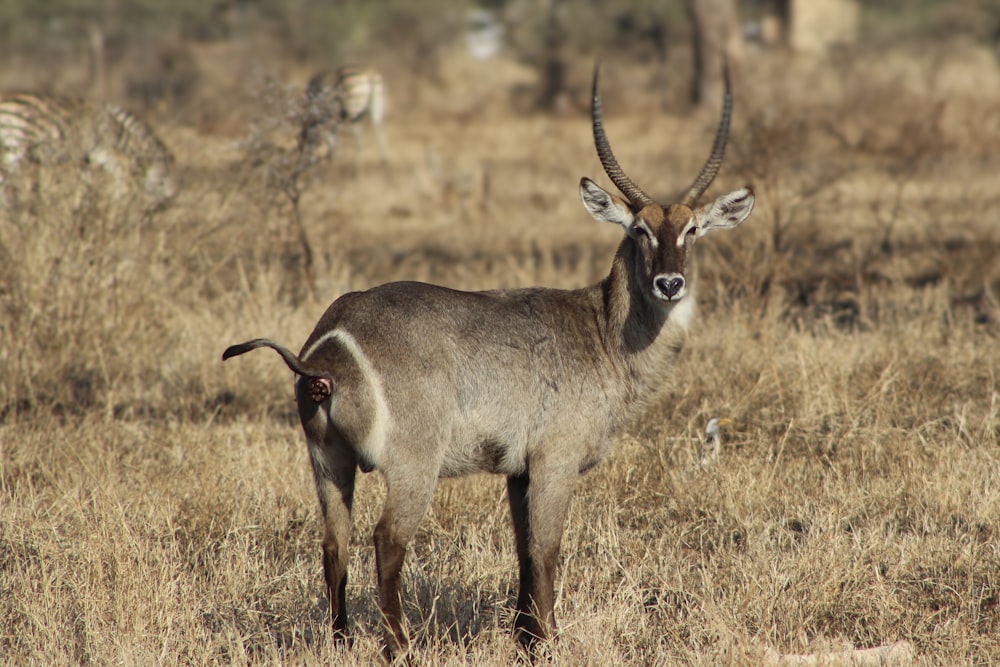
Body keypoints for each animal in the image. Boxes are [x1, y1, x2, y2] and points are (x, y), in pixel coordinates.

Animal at [0, 91, 176, 206]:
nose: (165, 205)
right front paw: (115, 199)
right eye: (163, 178)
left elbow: (91, 180)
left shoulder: (88, 156)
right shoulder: (94, 151)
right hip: (16, 147)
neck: (115, 129)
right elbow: (114, 172)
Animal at [223, 65, 752, 660]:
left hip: (326, 458)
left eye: (691, 230)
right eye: (639, 230)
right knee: (386, 541)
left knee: (334, 545)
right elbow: (546, 553)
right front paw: (548, 646)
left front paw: (525, 640)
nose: (670, 283)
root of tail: (332, 340)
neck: (603, 331)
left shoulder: (517, 471)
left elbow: (522, 552)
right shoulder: (554, 460)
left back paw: (340, 643)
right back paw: (401, 647)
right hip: (413, 462)